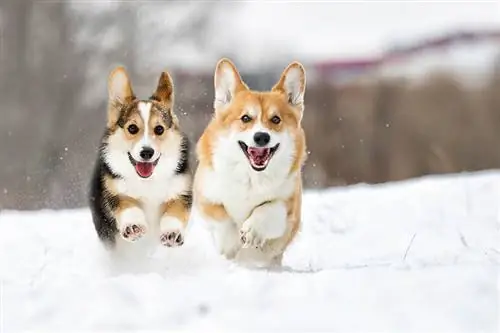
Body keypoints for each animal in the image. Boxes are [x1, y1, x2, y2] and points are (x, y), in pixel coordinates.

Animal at [89, 66, 192, 250]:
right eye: (132, 128)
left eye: (159, 129)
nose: (147, 153)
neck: (147, 181)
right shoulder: (116, 192)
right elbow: (129, 206)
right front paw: (133, 227)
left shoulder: (180, 192)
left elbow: (174, 213)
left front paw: (172, 233)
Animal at [193, 57, 306, 264]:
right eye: (245, 118)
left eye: (276, 119)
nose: (261, 137)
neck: (251, 176)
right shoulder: (206, 198)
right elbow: (222, 218)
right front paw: (230, 244)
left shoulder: (289, 205)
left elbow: (270, 208)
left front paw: (252, 231)